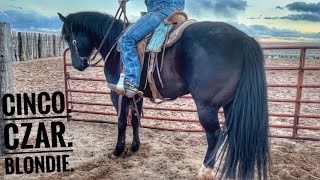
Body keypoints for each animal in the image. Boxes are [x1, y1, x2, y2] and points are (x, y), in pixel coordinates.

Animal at [58, 11, 270, 180]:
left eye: (68, 36)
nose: (78, 65)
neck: (115, 45)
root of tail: (245, 40)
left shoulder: (118, 94)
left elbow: (121, 122)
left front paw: (117, 150)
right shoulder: (137, 95)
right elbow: (135, 120)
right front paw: (134, 147)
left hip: (207, 106)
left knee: (214, 136)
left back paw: (205, 171)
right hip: (231, 104)